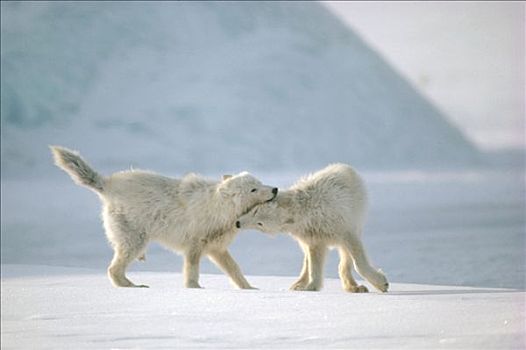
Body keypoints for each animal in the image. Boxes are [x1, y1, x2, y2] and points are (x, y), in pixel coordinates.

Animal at [51, 146, 278, 290]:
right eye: (253, 189)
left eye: (260, 182)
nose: (275, 189)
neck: (218, 210)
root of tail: (107, 183)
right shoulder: (194, 243)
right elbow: (192, 268)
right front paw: (194, 287)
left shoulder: (217, 247)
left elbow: (234, 269)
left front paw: (249, 288)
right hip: (134, 238)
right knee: (114, 268)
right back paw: (133, 285)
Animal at [237, 163, 390, 292]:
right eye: (255, 210)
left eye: (260, 223)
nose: (238, 223)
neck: (307, 211)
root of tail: (344, 166)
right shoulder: (312, 235)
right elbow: (314, 262)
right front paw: (310, 287)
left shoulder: (341, 226)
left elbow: (356, 258)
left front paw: (382, 283)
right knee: (308, 259)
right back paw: (298, 284)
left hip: (356, 214)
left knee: (345, 254)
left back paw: (354, 287)